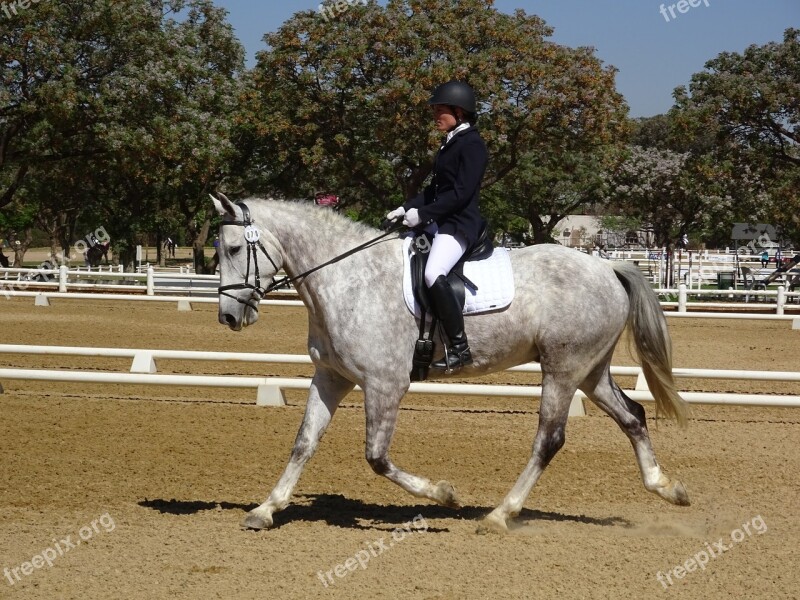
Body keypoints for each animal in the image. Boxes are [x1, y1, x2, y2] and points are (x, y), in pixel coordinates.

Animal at [214, 193, 692, 528]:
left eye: (234, 249)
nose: (229, 317)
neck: (347, 279)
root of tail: (607, 268)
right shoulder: (331, 376)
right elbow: (304, 443)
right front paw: (266, 509)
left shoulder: (385, 384)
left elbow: (376, 457)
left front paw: (443, 493)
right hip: (590, 370)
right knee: (632, 416)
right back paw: (666, 487)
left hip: (563, 368)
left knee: (549, 439)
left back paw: (500, 514)